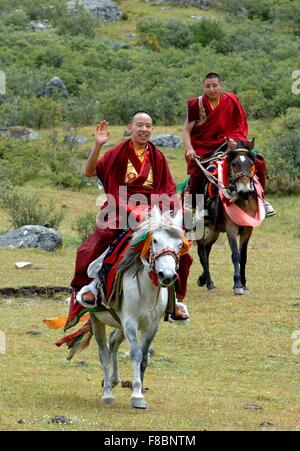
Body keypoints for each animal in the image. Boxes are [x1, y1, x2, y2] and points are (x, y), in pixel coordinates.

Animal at [196, 142, 262, 296]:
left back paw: (203, 279)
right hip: (199, 228)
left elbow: (243, 256)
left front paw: (244, 284)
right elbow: (235, 255)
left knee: (207, 248)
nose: (245, 191)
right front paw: (237, 285)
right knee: (202, 251)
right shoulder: (231, 228)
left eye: (251, 164)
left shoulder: (247, 230)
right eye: (233, 164)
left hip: (215, 230)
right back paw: (210, 283)